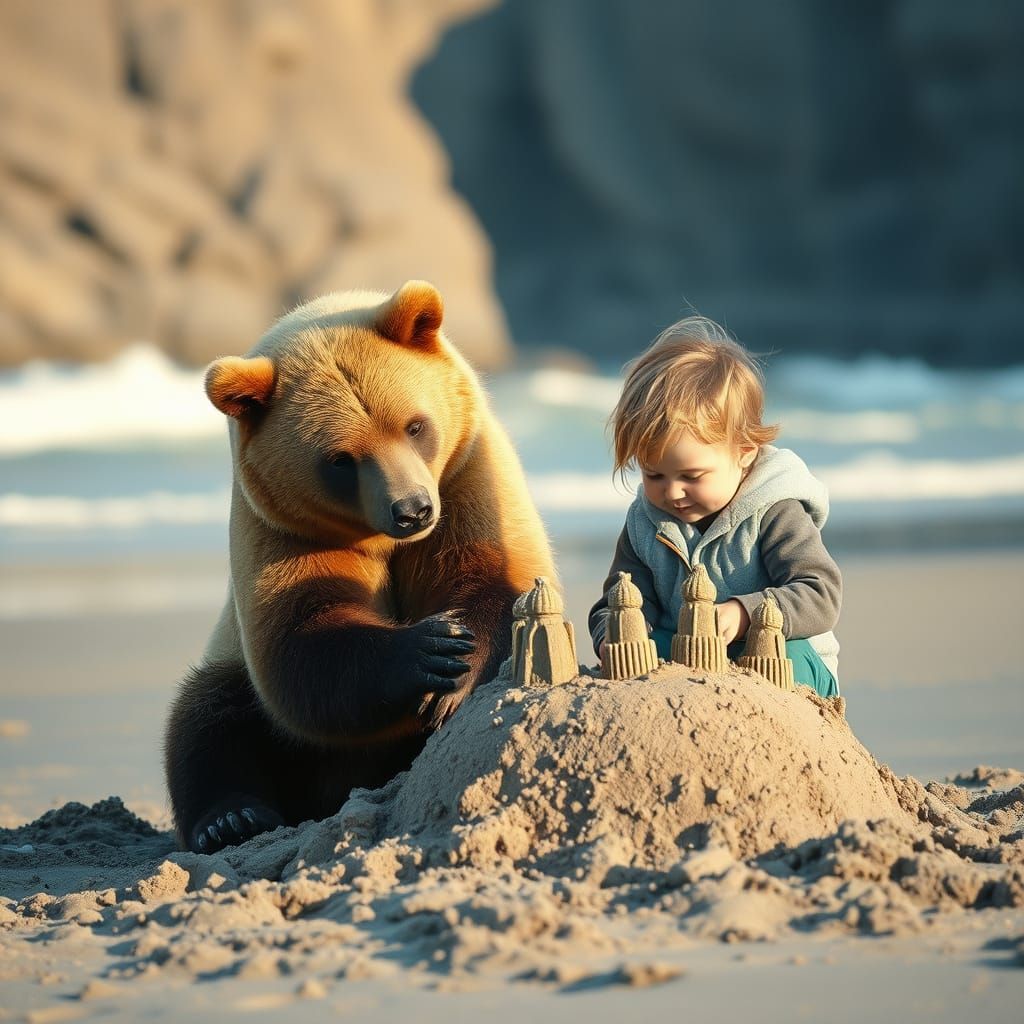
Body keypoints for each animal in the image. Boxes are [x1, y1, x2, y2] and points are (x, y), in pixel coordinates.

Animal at [164, 281, 557, 854]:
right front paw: (430, 649)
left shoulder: (468, 482)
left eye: (415, 426)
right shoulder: (286, 533)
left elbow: (496, 584)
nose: (413, 509)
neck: (380, 539)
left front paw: (456, 665)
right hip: (236, 670)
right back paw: (232, 818)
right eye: (340, 459)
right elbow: (303, 640)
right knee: (209, 718)